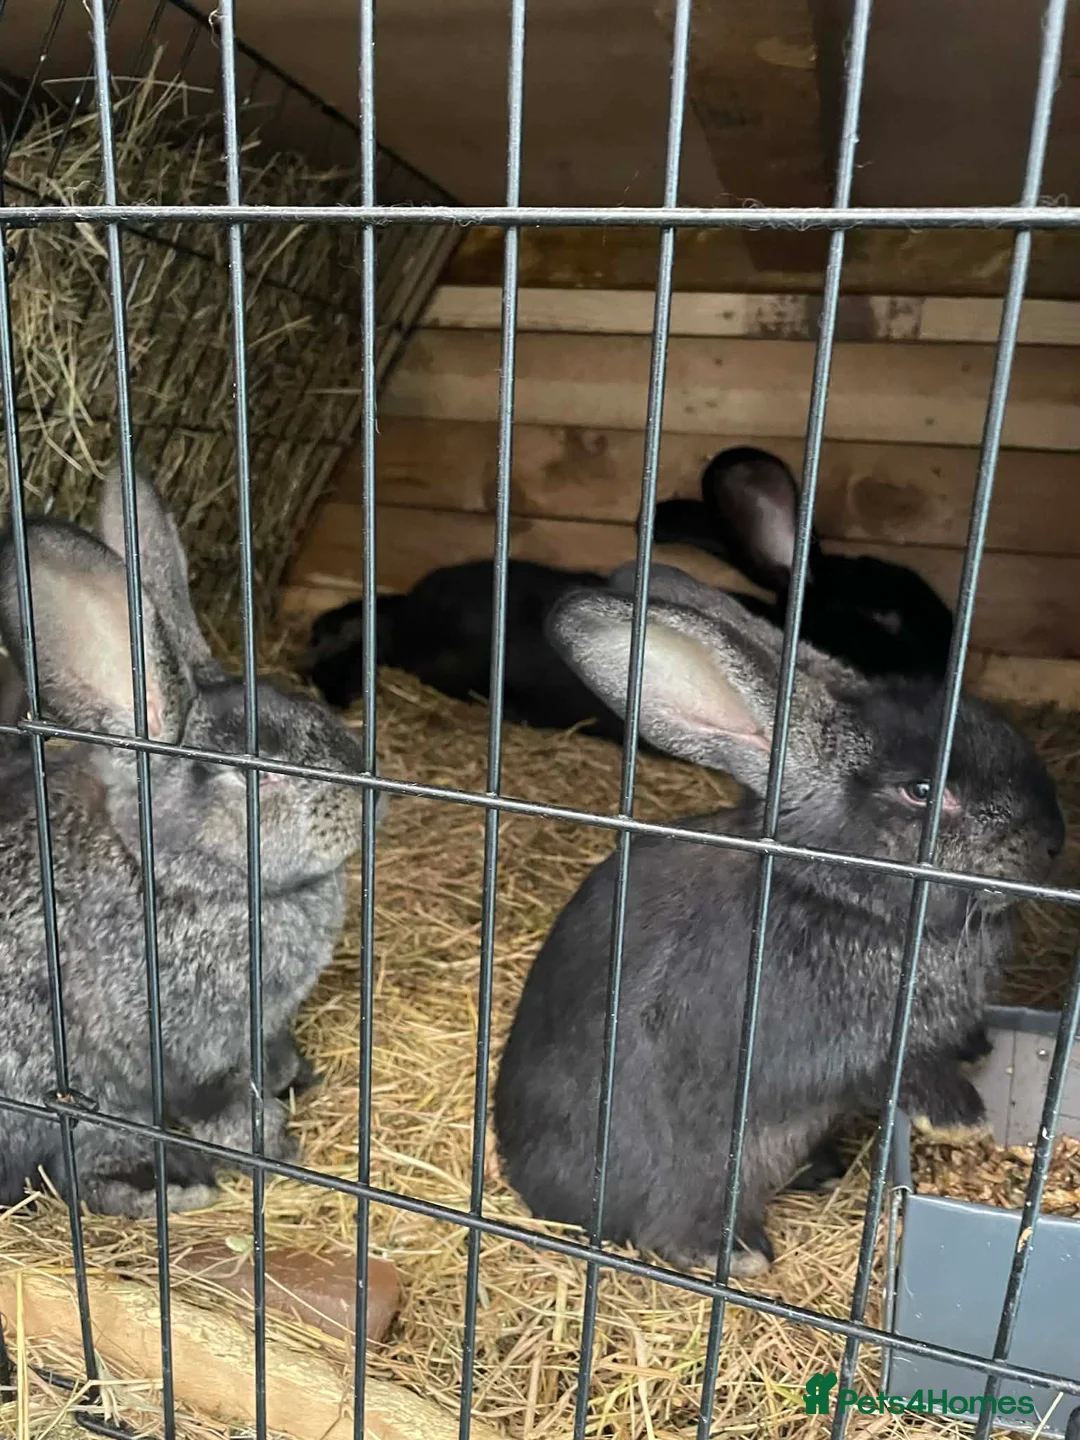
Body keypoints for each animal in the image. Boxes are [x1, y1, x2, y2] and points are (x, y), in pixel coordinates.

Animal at [0, 463, 384, 1217]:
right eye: (253, 773)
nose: (368, 797)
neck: (168, 871)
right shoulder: (184, 1049)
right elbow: (223, 1108)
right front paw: (277, 1147)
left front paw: (296, 1077)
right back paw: (166, 1185)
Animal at [493, 572, 1064, 1277]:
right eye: (923, 793)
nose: (1052, 842)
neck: (836, 889)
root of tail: (535, 1190)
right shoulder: (839, 1046)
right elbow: (890, 1071)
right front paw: (961, 1118)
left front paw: (979, 1050)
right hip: (693, 1174)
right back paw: (740, 1254)